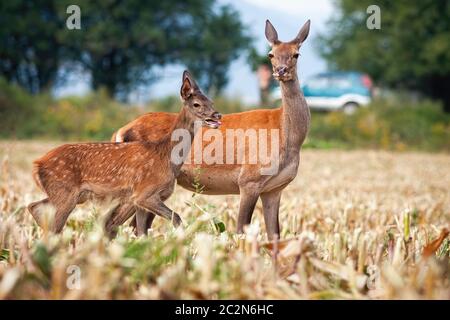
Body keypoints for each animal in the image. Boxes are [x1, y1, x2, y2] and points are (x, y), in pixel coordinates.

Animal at [27, 72, 221, 238]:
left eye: (211, 101)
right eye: (196, 104)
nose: (217, 115)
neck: (166, 156)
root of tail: (36, 164)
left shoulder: (140, 201)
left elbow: (141, 232)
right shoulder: (144, 193)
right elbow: (176, 218)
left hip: (69, 195)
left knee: (34, 206)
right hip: (65, 192)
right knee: (52, 224)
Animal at [110, 19, 312, 240]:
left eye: (296, 53)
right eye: (271, 54)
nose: (281, 71)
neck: (286, 135)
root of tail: (120, 131)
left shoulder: (275, 189)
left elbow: (274, 235)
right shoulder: (249, 179)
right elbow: (241, 230)